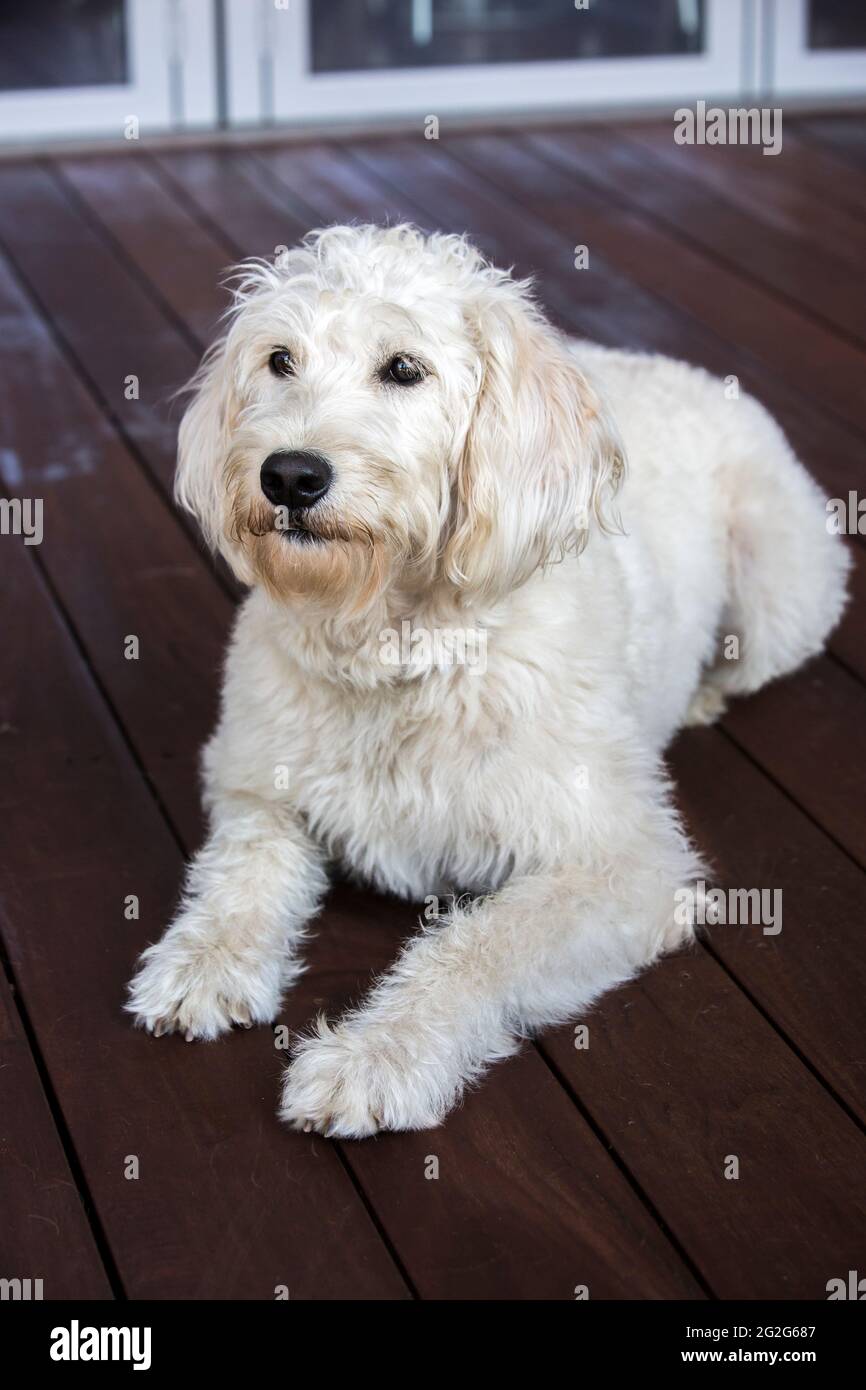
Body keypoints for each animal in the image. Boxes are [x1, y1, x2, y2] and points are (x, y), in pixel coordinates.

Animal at [125, 222, 850, 1134]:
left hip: (782, 592)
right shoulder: (256, 785)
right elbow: (239, 874)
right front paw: (203, 963)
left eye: (404, 368)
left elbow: (474, 952)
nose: (289, 474)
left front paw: (375, 1058)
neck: (398, 646)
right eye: (279, 359)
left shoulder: (622, 866)